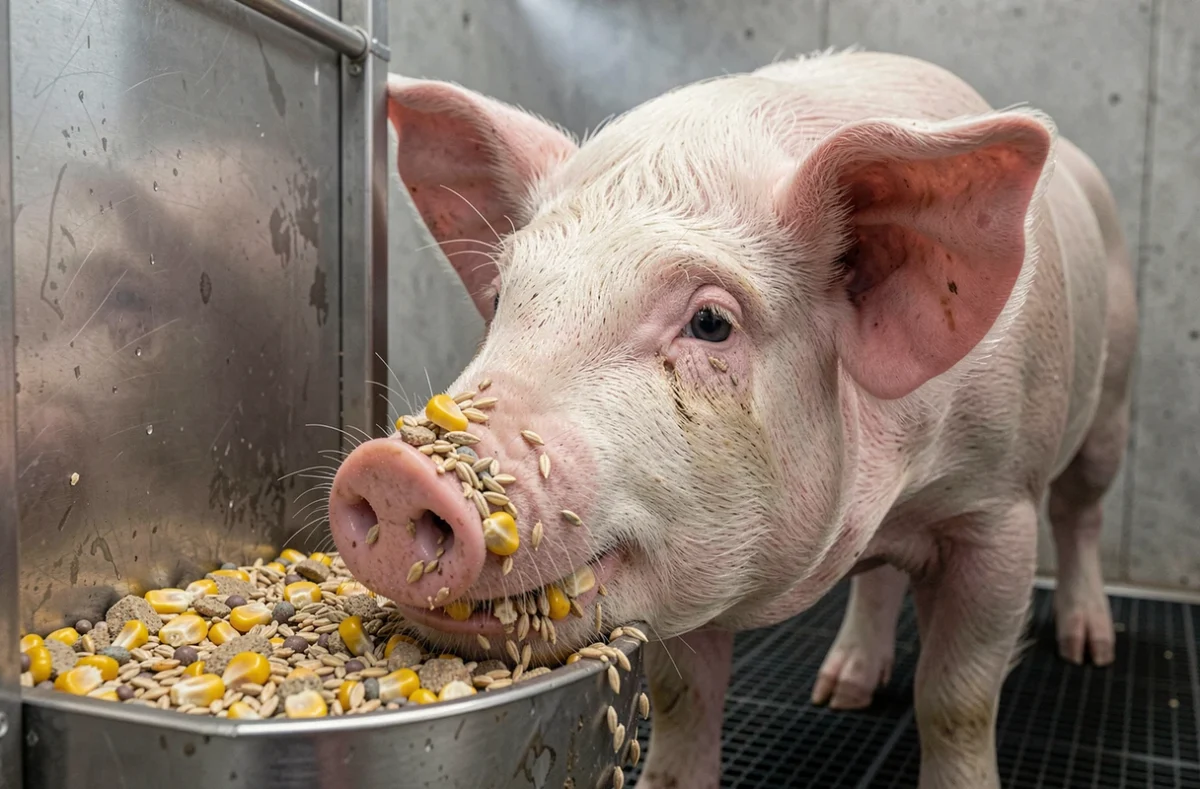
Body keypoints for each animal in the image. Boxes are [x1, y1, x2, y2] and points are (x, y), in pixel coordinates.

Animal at [327, 49, 1136, 789]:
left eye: (712, 323)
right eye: (501, 296)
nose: (395, 471)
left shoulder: (999, 504)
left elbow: (957, 700)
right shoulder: (687, 566)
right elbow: (685, 699)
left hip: (1111, 399)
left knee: (1084, 510)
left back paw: (1090, 646)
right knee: (880, 580)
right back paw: (841, 692)